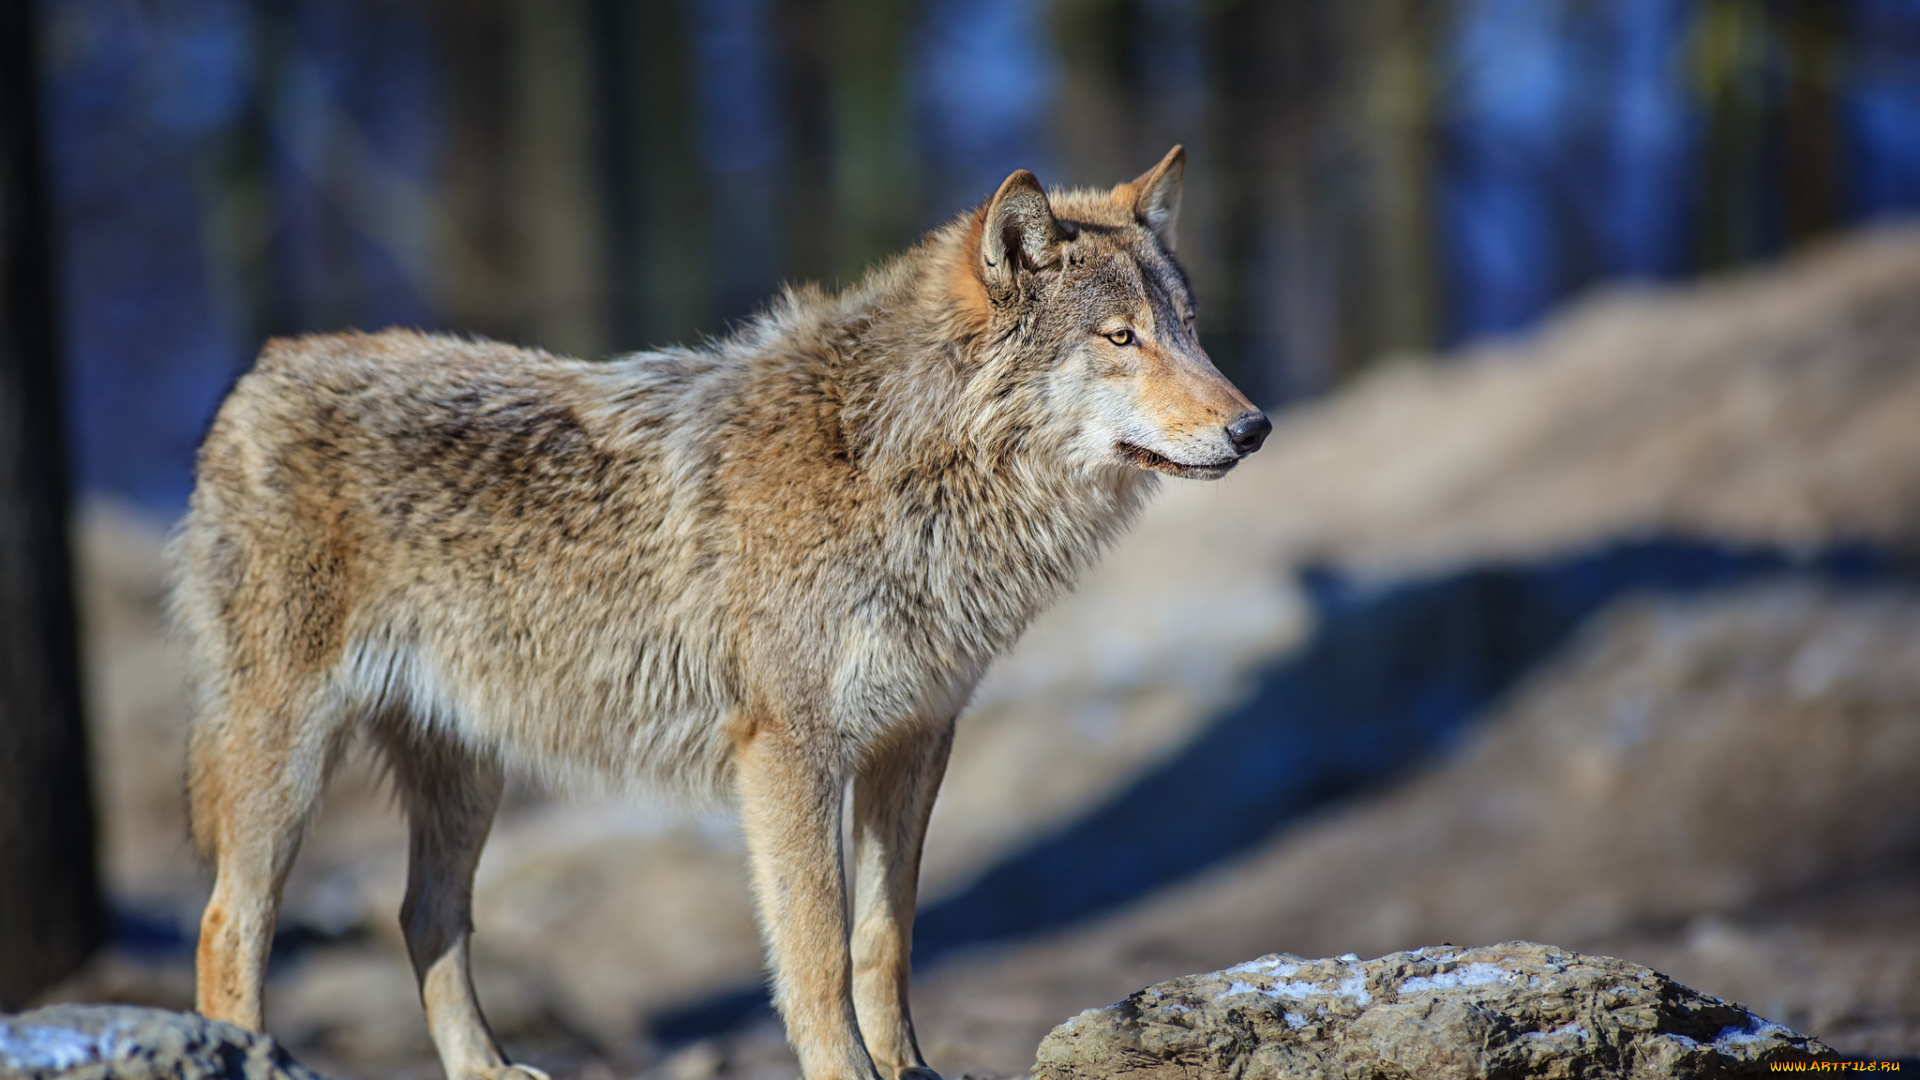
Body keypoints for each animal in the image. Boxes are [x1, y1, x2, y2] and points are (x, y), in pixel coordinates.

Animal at [172, 147, 1267, 1076]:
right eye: (1120, 338)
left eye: (1190, 329)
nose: (1253, 427)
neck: (896, 464)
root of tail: (259, 374)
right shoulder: (788, 751)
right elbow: (819, 956)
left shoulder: (915, 740)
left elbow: (886, 943)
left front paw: (908, 1070)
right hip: (289, 762)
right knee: (228, 927)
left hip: (469, 775)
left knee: (424, 918)